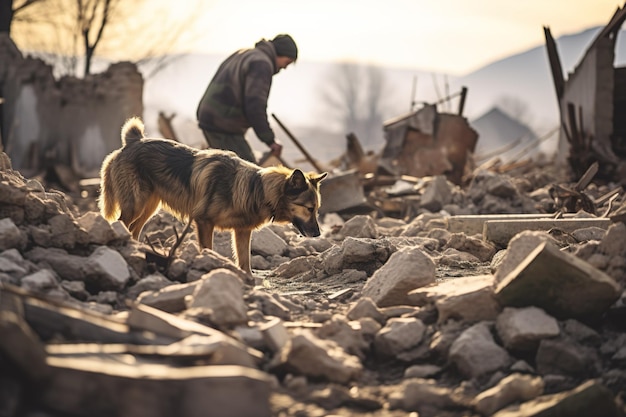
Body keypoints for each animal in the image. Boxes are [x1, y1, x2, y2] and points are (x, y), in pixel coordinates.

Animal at [97, 116, 326, 272]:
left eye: (317, 209)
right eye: (309, 209)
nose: (318, 234)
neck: (255, 189)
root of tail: (133, 141)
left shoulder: (242, 232)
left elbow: (245, 262)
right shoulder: (204, 222)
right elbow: (208, 250)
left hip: (149, 207)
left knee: (134, 230)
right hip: (135, 205)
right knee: (122, 225)